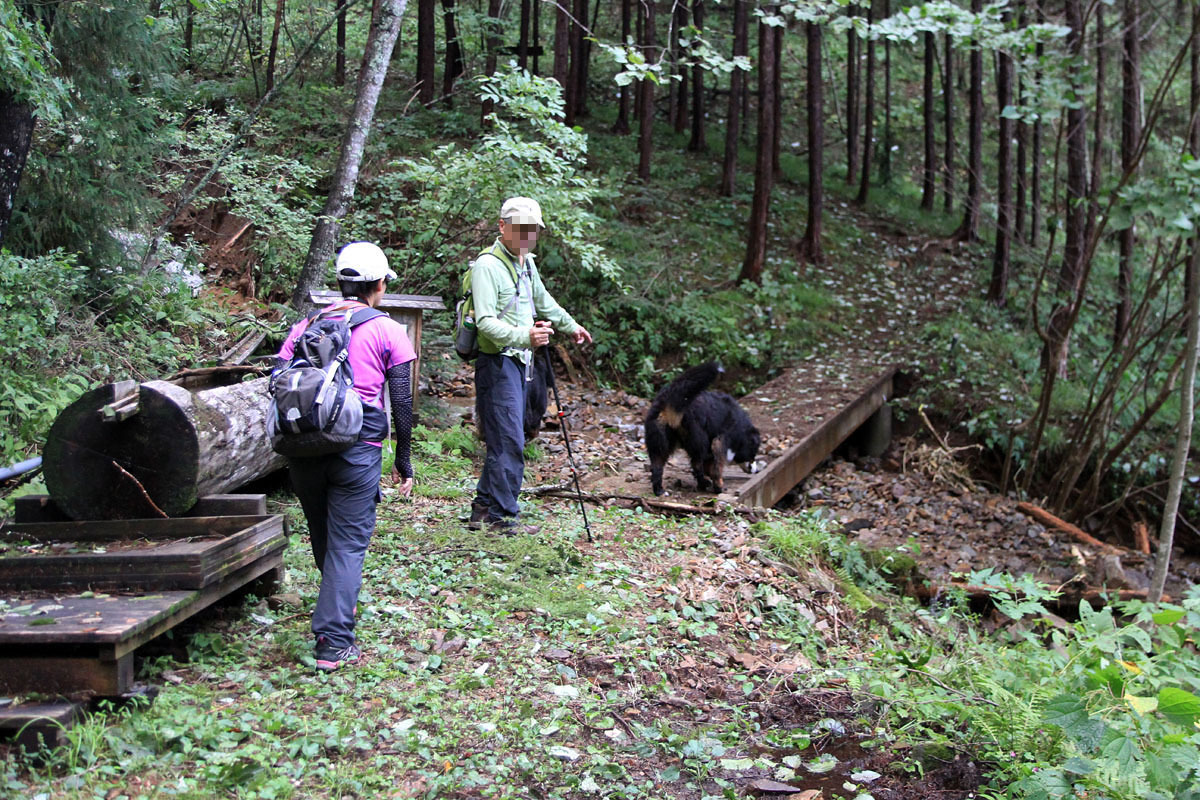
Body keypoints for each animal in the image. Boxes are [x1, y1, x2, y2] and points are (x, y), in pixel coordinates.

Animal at [648, 362, 758, 494]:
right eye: (754, 452)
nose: (757, 471)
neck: (741, 429)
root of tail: (669, 400)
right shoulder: (720, 440)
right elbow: (716, 467)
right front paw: (718, 486)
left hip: (659, 439)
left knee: (657, 465)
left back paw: (659, 490)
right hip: (698, 438)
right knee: (696, 463)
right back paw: (704, 484)